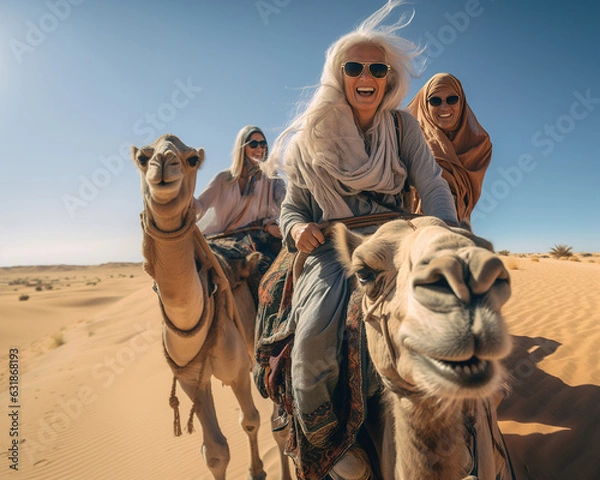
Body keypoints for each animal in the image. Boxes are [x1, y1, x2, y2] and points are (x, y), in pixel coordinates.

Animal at [132, 134, 292, 480]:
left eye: (192, 159)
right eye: (142, 158)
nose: (163, 163)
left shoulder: (238, 371)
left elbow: (251, 421)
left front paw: (257, 470)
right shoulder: (191, 378)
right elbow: (216, 452)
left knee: (278, 422)